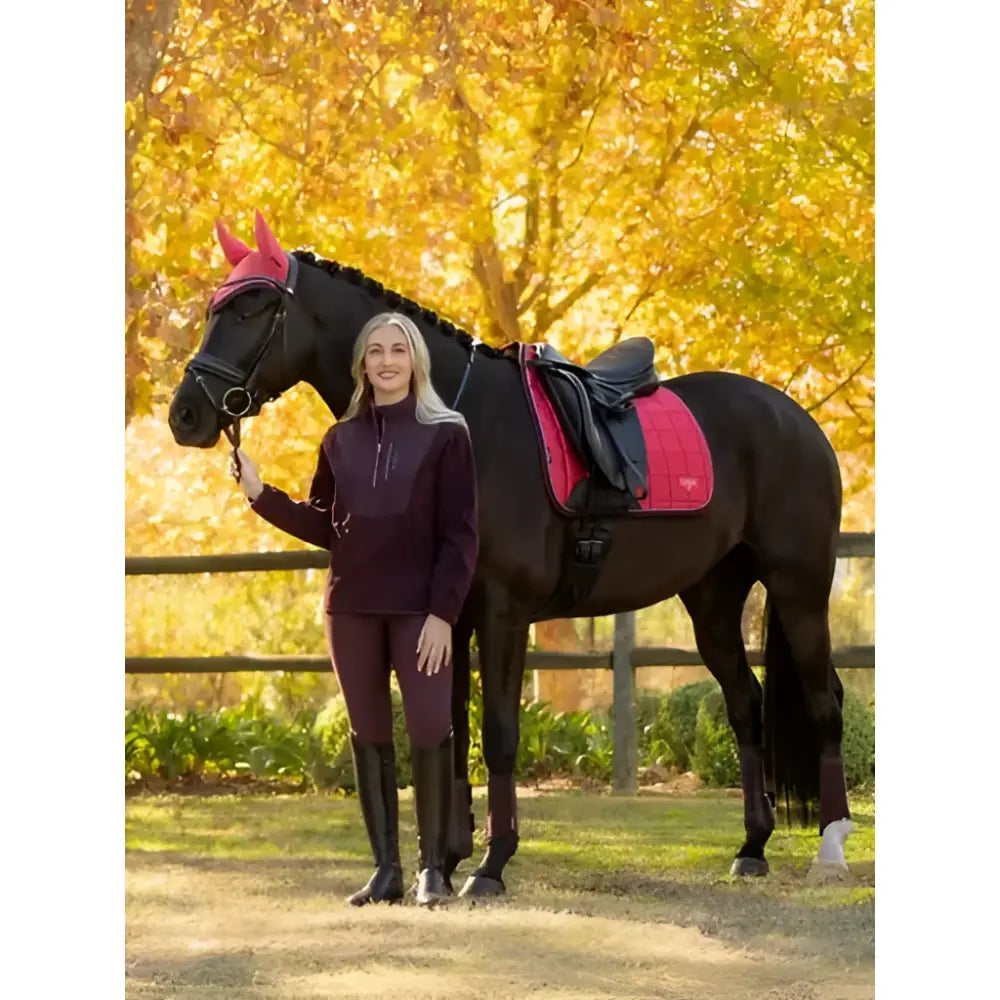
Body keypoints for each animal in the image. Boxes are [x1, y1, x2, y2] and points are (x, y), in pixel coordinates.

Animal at [168, 211, 856, 894]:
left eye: (253, 308)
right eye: (214, 308)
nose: (185, 415)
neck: (462, 417)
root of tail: (796, 419)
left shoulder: (503, 614)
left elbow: (499, 735)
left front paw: (490, 866)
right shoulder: (447, 618)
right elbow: (451, 730)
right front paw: (446, 860)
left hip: (799, 588)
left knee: (823, 701)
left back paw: (831, 848)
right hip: (713, 600)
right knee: (747, 706)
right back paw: (752, 846)